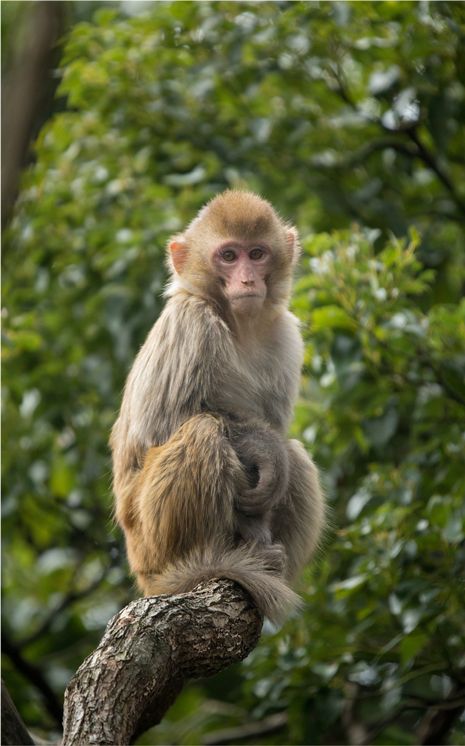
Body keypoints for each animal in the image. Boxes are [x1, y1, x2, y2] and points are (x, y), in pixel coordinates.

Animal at [110, 187, 324, 620]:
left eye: (256, 253)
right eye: (228, 255)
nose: (247, 279)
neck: (238, 326)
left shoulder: (285, 335)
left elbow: (280, 435)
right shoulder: (190, 323)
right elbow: (162, 426)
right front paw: (261, 446)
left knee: (295, 455)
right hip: (150, 537)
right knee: (203, 431)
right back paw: (205, 565)